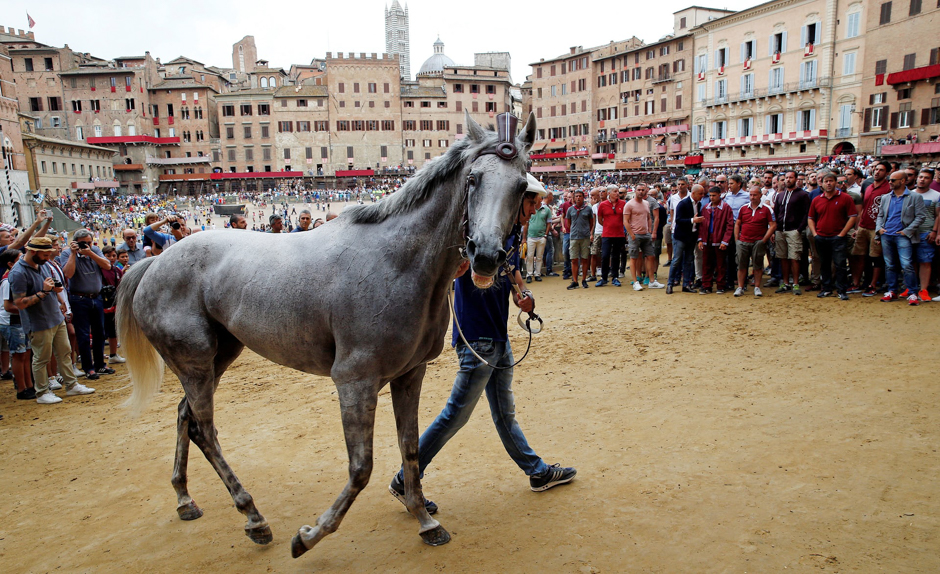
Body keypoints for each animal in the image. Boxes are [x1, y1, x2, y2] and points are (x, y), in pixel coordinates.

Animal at [119, 111, 536, 560]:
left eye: (521, 184)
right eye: (473, 179)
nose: (486, 256)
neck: (397, 263)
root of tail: (156, 262)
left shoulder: (410, 375)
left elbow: (410, 448)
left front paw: (424, 519)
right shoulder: (355, 380)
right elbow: (361, 467)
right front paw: (309, 535)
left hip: (217, 357)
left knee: (185, 418)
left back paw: (184, 498)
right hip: (196, 363)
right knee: (205, 431)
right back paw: (255, 518)